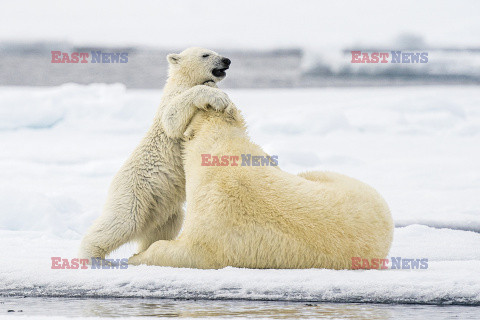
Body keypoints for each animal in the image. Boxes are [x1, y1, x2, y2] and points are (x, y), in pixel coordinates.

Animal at [79, 48, 234, 262]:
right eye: (206, 55)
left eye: (215, 51)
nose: (227, 60)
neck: (182, 81)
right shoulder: (173, 99)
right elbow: (172, 119)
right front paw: (219, 97)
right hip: (134, 193)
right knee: (123, 221)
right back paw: (92, 255)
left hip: (162, 207)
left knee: (164, 226)